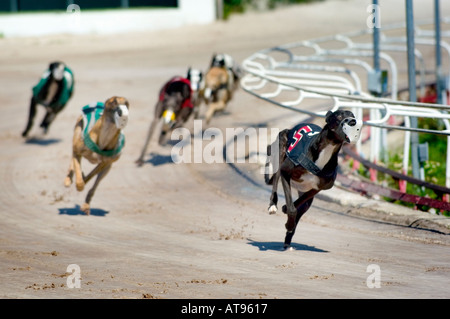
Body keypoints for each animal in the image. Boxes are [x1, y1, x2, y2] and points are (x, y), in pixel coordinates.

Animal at [264, 110, 362, 250]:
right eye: (339, 116)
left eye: (353, 116)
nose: (353, 121)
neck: (327, 149)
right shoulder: (285, 172)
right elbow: (292, 208)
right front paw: (287, 218)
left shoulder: (317, 188)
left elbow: (296, 204)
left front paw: (286, 212)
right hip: (280, 153)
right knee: (275, 181)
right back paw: (273, 206)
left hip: (306, 198)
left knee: (301, 208)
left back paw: (288, 241)